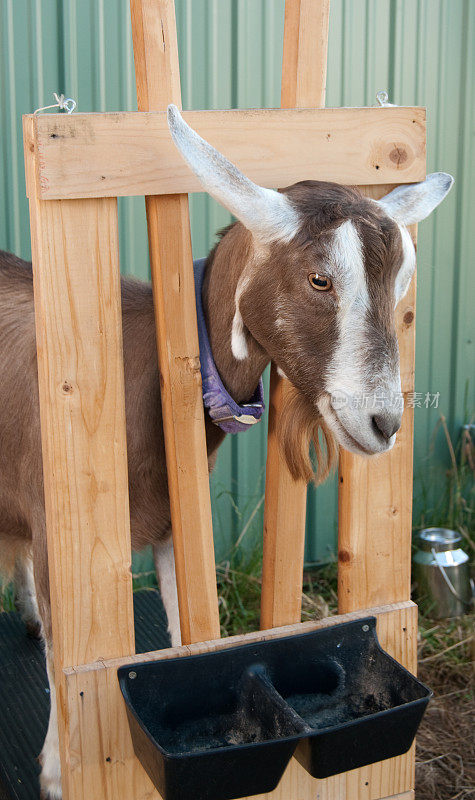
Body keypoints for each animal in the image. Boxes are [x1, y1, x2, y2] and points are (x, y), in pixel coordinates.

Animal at [0, 104, 454, 792]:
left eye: (401, 282)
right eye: (320, 278)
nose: (383, 423)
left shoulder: (171, 522)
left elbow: (185, 631)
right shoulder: (61, 533)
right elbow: (63, 656)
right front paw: (55, 770)